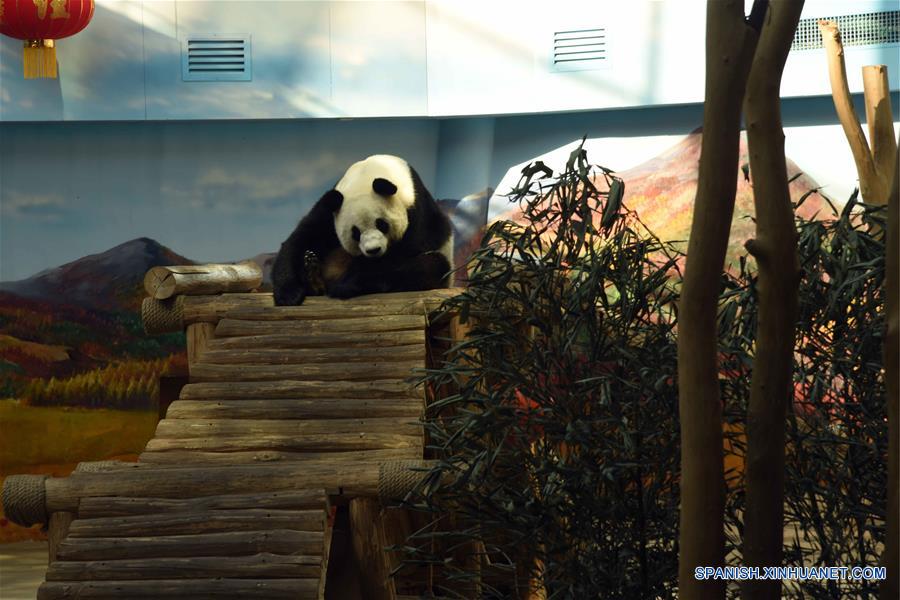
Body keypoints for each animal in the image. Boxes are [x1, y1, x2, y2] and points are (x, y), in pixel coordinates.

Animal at [270, 155, 454, 304]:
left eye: (382, 224)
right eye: (355, 233)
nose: (373, 250)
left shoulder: (417, 209)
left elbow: (404, 252)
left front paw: (347, 282)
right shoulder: (330, 210)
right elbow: (303, 237)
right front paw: (288, 293)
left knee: (429, 266)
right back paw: (313, 278)